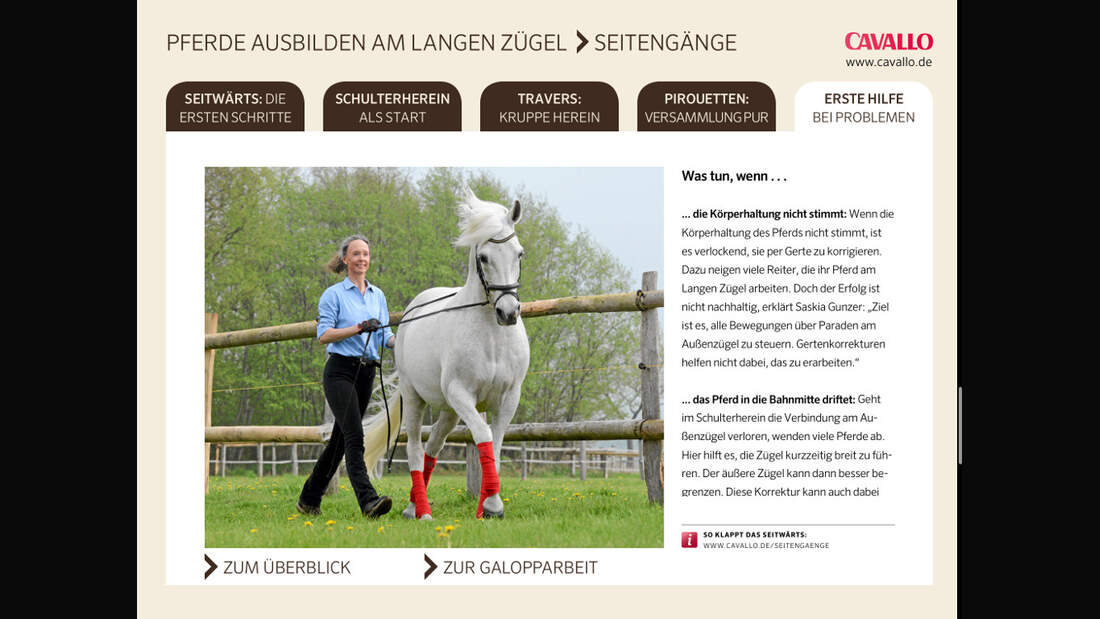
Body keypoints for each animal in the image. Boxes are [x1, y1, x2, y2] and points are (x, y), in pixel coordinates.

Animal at [360, 186, 529, 520]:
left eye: (519, 253)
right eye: (483, 257)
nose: (508, 312)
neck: (492, 336)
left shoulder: (508, 397)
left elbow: (496, 445)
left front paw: (487, 507)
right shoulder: (460, 393)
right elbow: (484, 437)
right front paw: (492, 505)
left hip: (449, 411)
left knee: (433, 447)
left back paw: (413, 505)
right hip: (416, 398)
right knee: (414, 448)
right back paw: (422, 511)